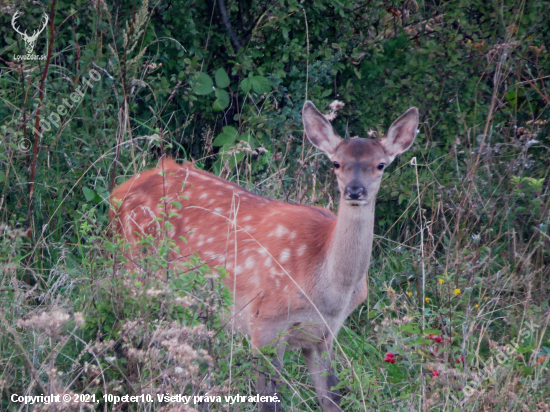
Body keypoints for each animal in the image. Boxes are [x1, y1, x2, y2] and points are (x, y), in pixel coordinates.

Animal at [111, 100, 418, 412]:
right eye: (336, 163)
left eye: (380, 164)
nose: (355, 190)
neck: (328, 291)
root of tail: (119, 191)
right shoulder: (265, 321)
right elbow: (268, 401)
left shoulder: (325, 335)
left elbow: (332, 398)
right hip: (135, 264)